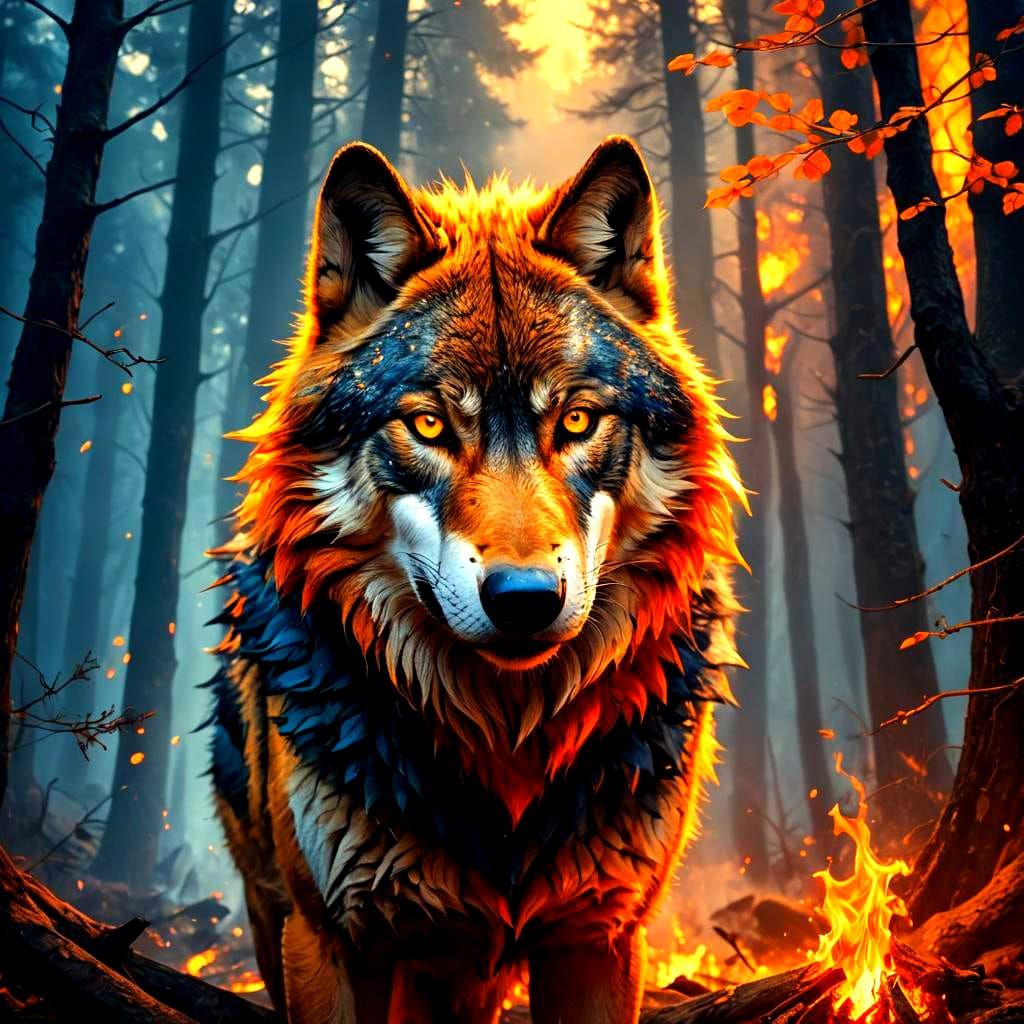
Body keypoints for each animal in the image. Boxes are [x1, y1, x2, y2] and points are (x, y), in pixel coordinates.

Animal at [207, 135, 745, 1024]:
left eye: (576, 420)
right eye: (428, 424)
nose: (525, 600)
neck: (505, 738)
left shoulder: (598, 939)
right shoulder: (331, 942)